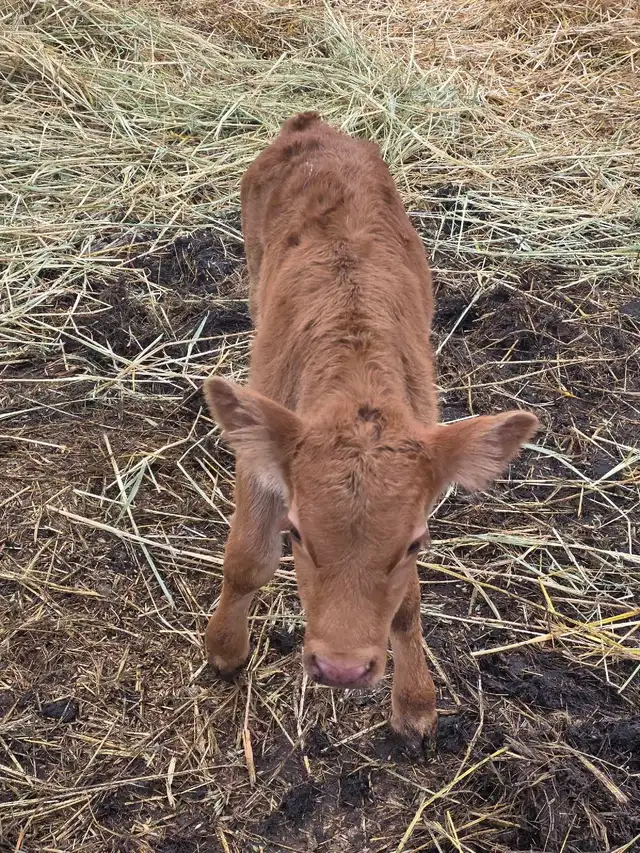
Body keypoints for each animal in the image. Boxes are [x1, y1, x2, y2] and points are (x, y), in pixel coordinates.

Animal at [203, 112, 538, 747]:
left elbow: (407, 605)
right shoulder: (261, 449)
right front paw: (225, 652)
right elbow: (246, 560)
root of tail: (313, 128)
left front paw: (415, 703)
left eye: (413, 544)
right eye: (294, 533)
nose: (341, 668)